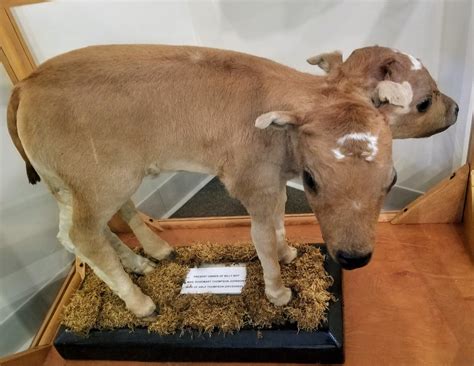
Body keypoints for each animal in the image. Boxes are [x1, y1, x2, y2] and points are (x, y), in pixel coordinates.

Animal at [7, 44, 458, 316]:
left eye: (391, 179)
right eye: (424, 101)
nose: (354, 257)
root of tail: (27, 83)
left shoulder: (272, 185)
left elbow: (279, 219)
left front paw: (289, 252)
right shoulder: (253, 187)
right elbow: (261, 238)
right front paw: (278, 293)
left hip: (72, 186)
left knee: (76, 233)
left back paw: (146, 257)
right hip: (100, 184)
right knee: (84, 236)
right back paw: (141, 303)